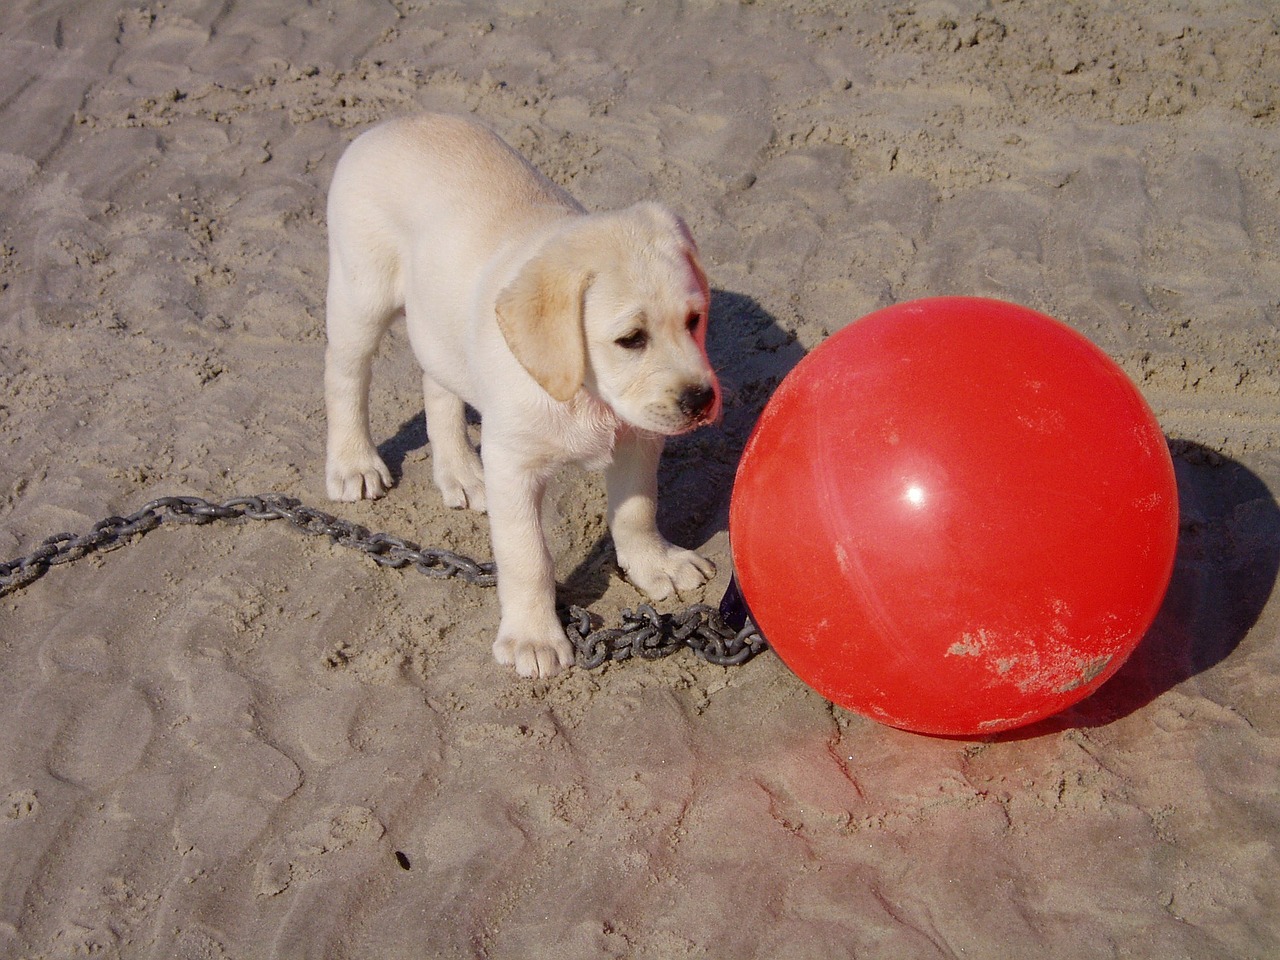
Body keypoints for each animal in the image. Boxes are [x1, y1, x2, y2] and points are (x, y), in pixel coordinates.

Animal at [320, 116, 721, 680]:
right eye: (631, 339)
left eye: (694, 319)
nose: (701, 400)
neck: (584, 394)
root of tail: (395, 122)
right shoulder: (513, 464)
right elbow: (527, 556)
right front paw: (533, 636)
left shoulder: (638, 437)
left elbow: (638, 508)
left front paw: (655, 563)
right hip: (362, 294)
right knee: (344, 375)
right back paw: (353, 462)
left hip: (437, 322)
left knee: (438, 385)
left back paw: (461, 473)